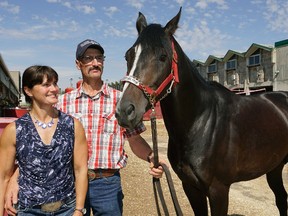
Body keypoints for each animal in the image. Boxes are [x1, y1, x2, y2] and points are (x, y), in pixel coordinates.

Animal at [115, 7, 288, 215]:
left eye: (163, 56)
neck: (200, 123)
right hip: (275, 167)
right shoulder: (190, 187)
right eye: (128, 56)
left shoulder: (218, 190)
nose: (125, 111)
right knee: (281, 199)